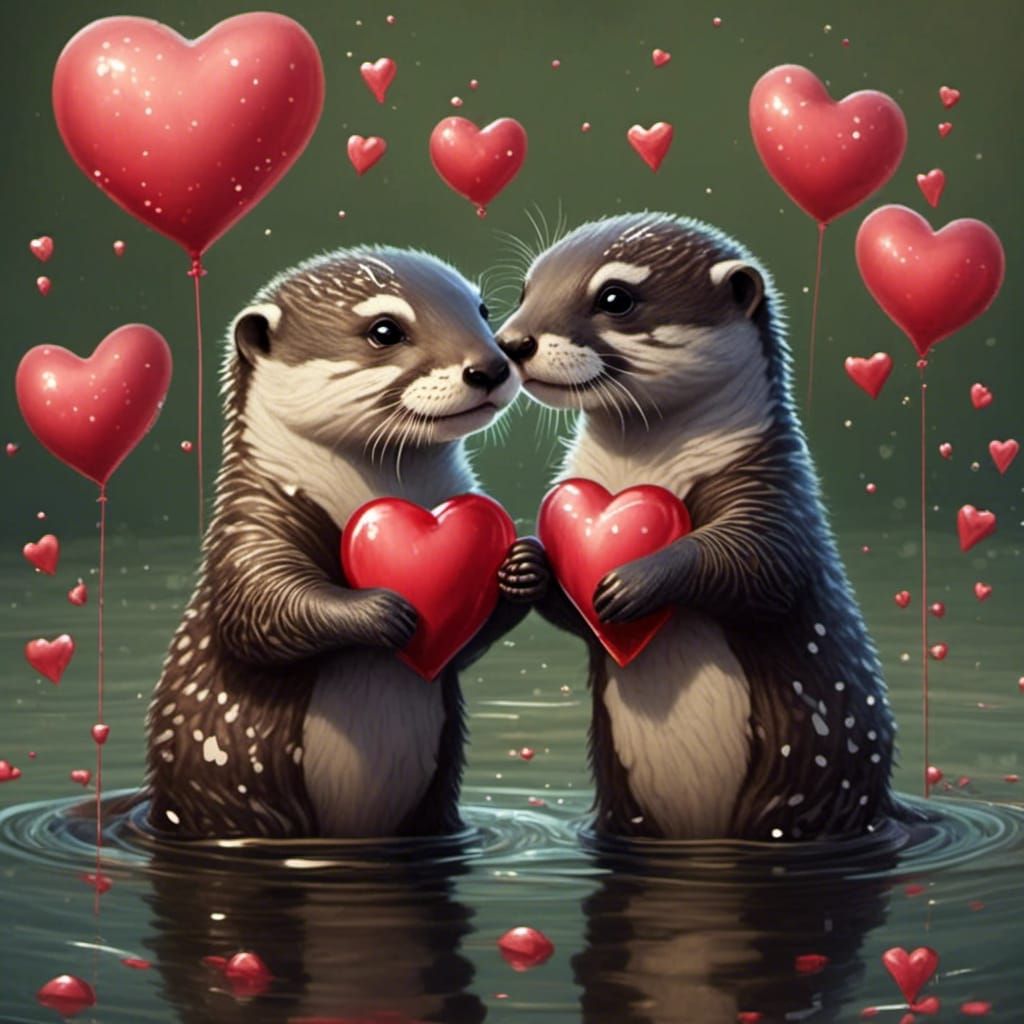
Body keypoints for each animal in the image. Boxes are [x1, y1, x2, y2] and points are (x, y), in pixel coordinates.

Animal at [146, 246, 546, 839]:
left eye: (482, 309)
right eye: (384, 330)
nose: (492, 366)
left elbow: (469, 642)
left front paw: (525, 565)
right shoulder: (250, 526)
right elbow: (258, 611)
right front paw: (380, 610)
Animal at [497, 212, 903, 842]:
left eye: (615, 297)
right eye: (525, 290)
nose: (513, 342)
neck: (639, 475)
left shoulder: (773, 498)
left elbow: (753, 566)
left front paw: (635, 582)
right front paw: (525, 566)